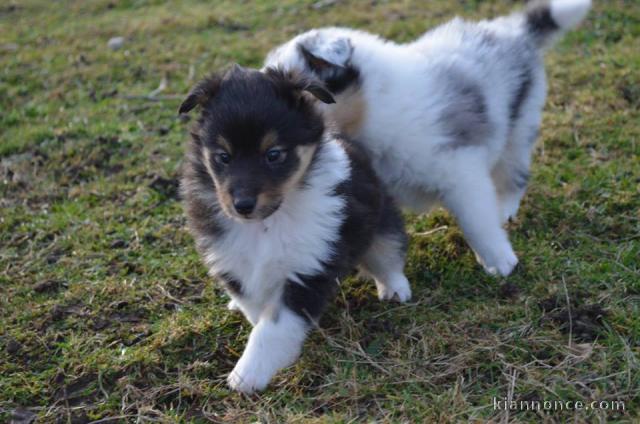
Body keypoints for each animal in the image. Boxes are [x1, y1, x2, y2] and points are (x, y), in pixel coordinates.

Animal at [179, 66, 410, 394]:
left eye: (273, 154)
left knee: (388, 250)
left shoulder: (307, 270)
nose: (242, 205)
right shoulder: (232, 261)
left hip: (378, 217)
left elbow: (271, 329)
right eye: (223, 156)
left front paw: (247, 375)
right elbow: (255, 308)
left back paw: (395, 289)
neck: (267, 223)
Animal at [262, 0, 592, 276]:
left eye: (299, 94)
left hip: (520, 124)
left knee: (513, 173)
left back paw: (506, 209)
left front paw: (499, 261)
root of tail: (513, 32)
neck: (371, 110)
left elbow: (477, 221)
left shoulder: (461, 172)